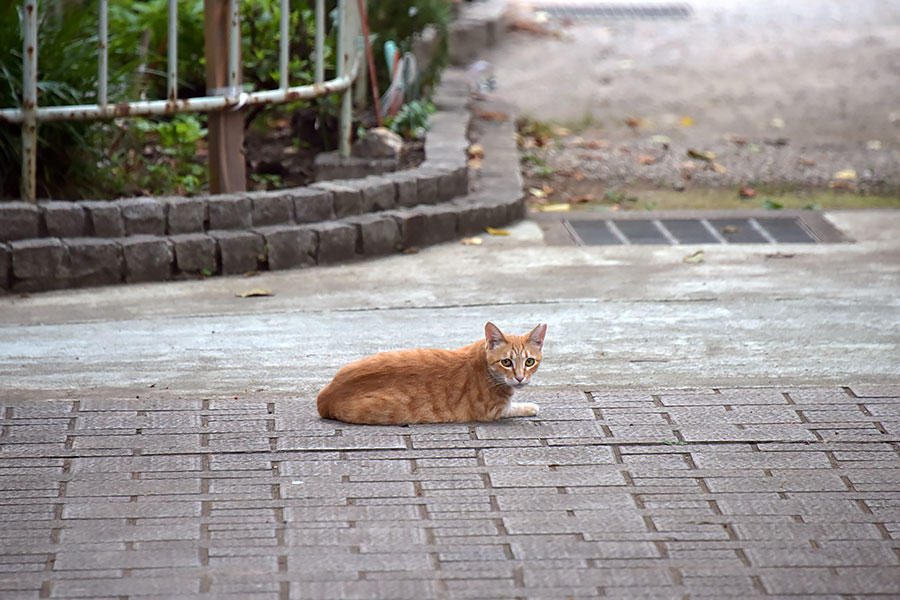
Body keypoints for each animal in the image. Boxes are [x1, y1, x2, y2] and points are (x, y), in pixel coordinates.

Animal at [318, 322, 548, 424]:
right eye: (506, 362)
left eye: (529, 362)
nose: (520, 377)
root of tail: (325, 397)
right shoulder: (492, 412)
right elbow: (516, 407)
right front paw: (531, 406)